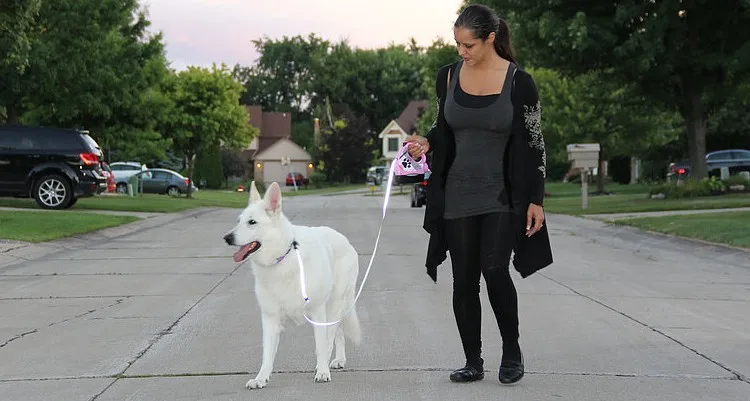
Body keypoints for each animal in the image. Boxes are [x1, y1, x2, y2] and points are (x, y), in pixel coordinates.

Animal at [223, 181, 364, 388]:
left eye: (252, 222)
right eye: (239, 220)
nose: (227, 238)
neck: (282, 258)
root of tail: (344, 239)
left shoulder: (318, 313)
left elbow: (321, 345)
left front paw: (322, 371)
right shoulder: (270, 318)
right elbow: (267, 355)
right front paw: (261, 378)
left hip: (334, 305)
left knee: (331, 337)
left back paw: (327, 365)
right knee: (338, 333)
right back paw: (338, 360)